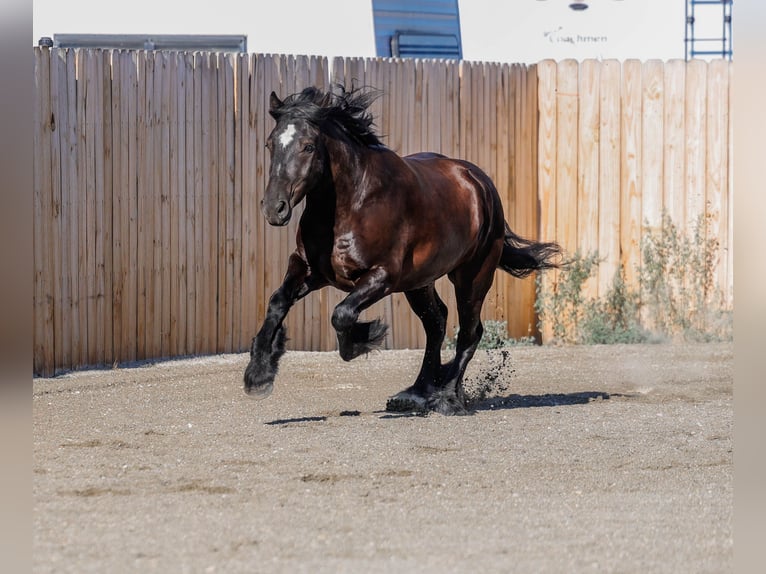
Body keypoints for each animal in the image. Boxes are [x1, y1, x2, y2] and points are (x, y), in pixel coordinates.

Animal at [243, 84, 561, 415]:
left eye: (307, 146)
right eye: (270, 144)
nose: (274, 208)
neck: (351, 205)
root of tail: (480, 183)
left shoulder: (383, 276)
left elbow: (342, 313)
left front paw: (367, 336)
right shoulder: (310, 269)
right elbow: (278, 301)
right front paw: (259, 374)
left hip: (473, 276)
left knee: (469, 332)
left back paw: (447, 397)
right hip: (419, 282)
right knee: (437, 324)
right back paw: (417, 393)